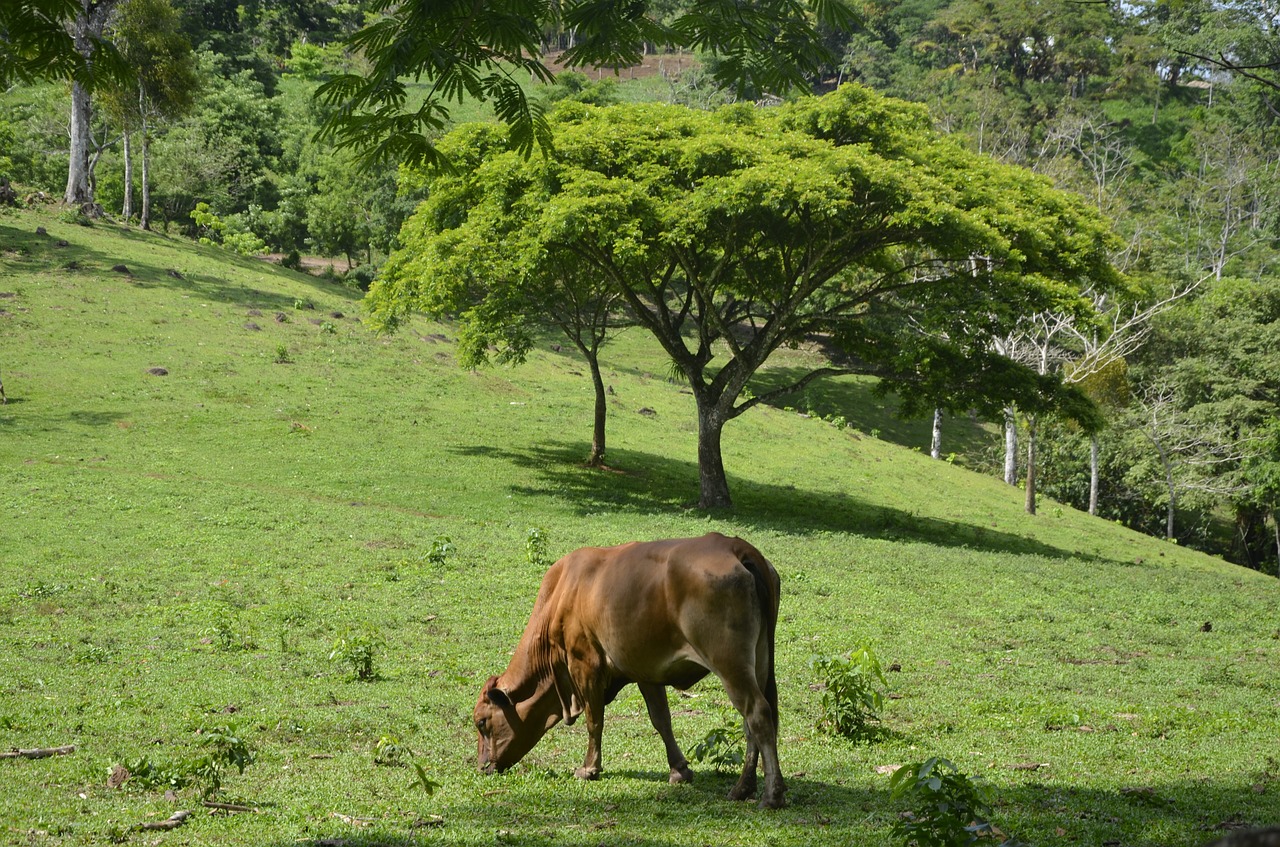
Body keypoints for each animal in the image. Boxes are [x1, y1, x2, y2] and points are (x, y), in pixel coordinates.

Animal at [473, 532, 783, 808]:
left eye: (481, 722)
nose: (482, 767)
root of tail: (737, 547)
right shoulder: (645, 669)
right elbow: (661, 720)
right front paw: (679, 770)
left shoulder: (584, 664)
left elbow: (594, 720)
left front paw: (589, 768)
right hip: (759, 660)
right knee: (751, 723)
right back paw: (743, 788)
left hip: (729, 662)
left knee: (757, 714)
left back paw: (771, 795)